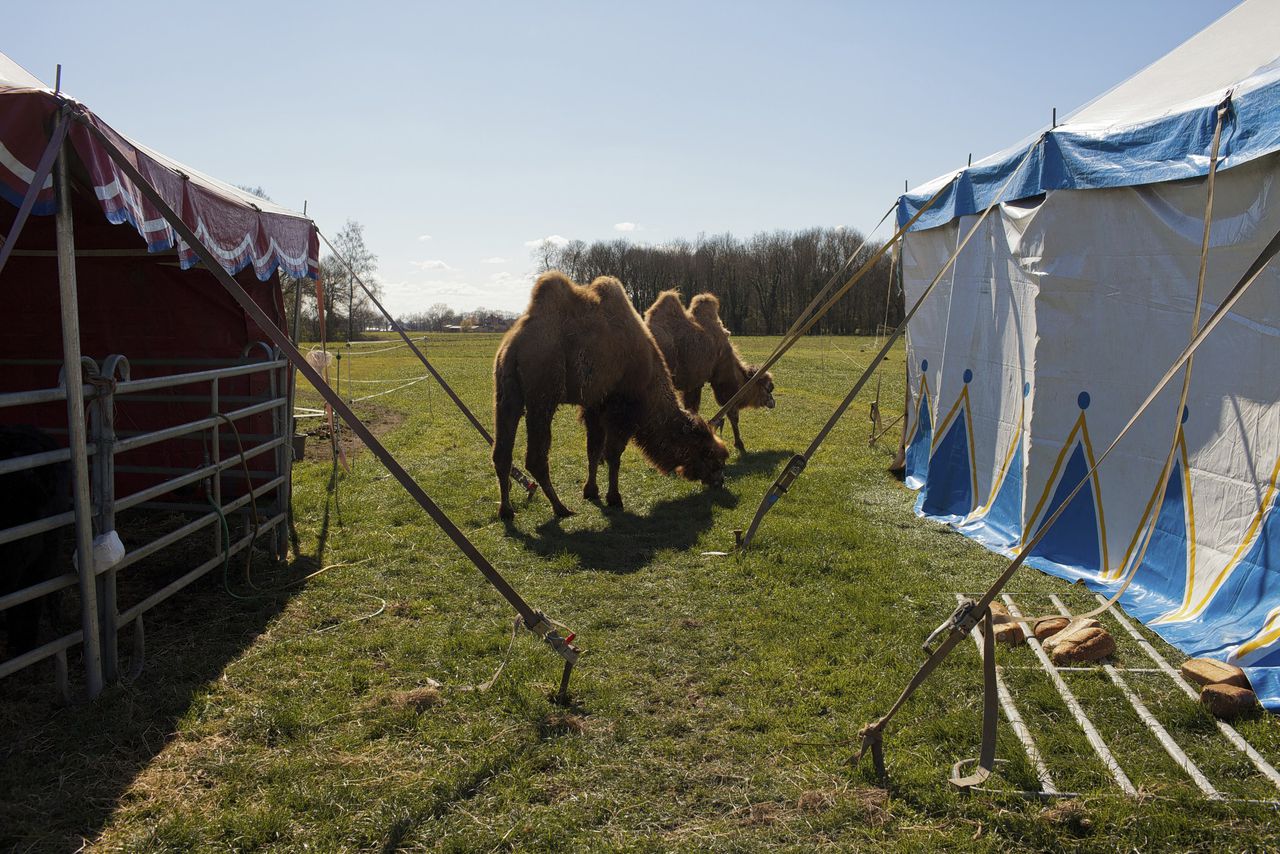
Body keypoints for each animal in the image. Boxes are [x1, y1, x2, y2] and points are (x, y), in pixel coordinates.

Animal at [491, 270, 727, 517]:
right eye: (709, 455)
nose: (720, 480)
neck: (650, 379)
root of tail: (513, 345)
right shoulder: (621, 408)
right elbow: (613, 454)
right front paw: (614, 498)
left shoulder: (595, 404)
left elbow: (594, 450)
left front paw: (591, 491)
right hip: (542, 392)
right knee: (535, 457)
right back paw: (561, 508)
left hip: (506, 392)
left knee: (501, 454)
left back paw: (506, 510)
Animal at [645, 290, 773, 453]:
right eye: (768, 387)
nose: (772, 402)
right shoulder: (716, 380)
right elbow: (731, 412)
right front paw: (740, 444)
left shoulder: (693, 384)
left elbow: (691, 409)